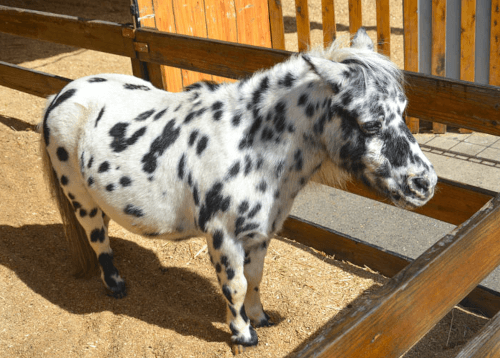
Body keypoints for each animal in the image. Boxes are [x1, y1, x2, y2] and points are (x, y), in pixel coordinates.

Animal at [40, 29, 438, 354]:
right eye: (370, 123)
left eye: (403, 110)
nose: (425, 184)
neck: (249, 148)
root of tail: (62, 93)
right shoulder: (223, 236)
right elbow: (235, 286)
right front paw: (243, 335)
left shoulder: (259, 235)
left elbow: (255, 280)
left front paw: (259, 318)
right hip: (80, 198)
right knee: (96, 237)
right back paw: (115, 284)